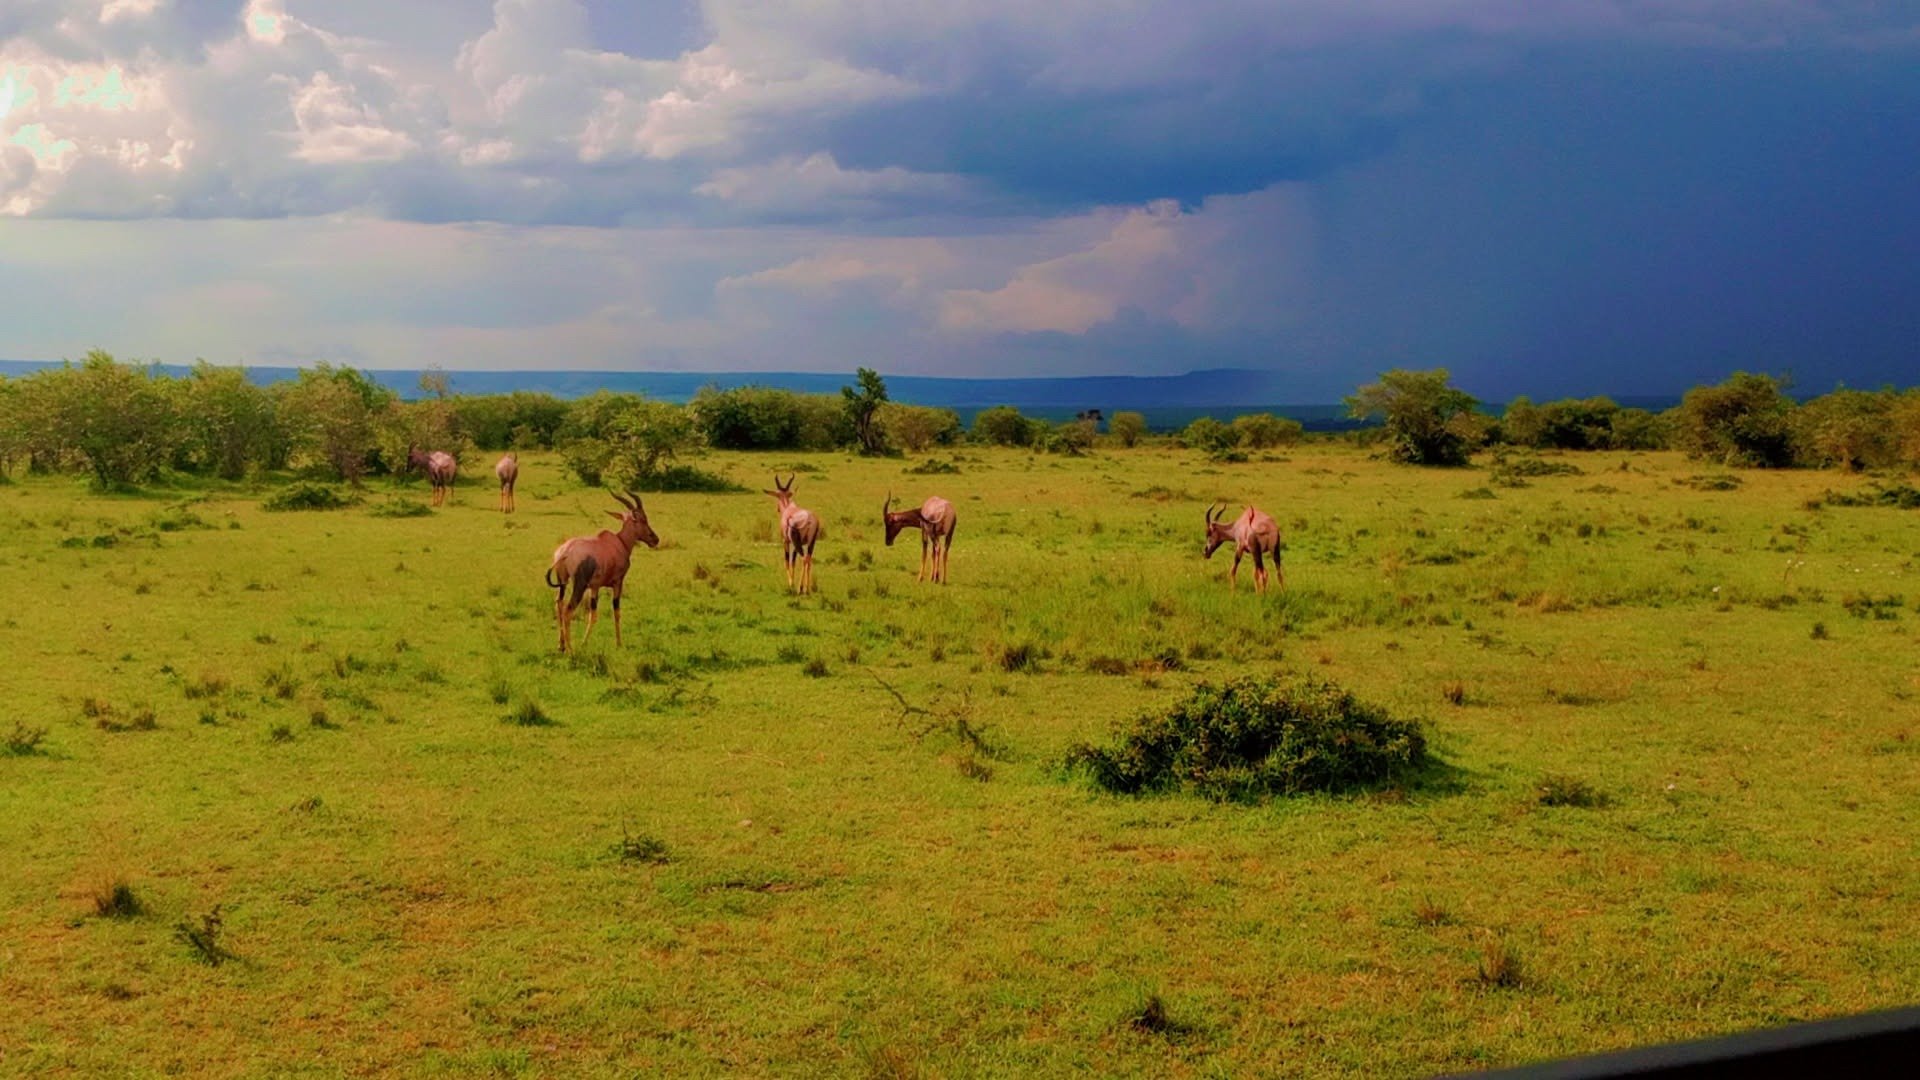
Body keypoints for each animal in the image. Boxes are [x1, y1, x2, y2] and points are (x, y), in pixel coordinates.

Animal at [545, 490, 660, 652]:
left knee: (559, 604)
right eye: (642, 519)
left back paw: (561, 645)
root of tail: (564, 552)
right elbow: (616, 612)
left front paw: (584, 642)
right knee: (568, 610)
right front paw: (618, 644)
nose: (655, 539)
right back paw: (571, 650)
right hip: (579, 586)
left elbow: (593, 615)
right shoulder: (618, 583)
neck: (619, 542)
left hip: (563, 582)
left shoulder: (594, 587)